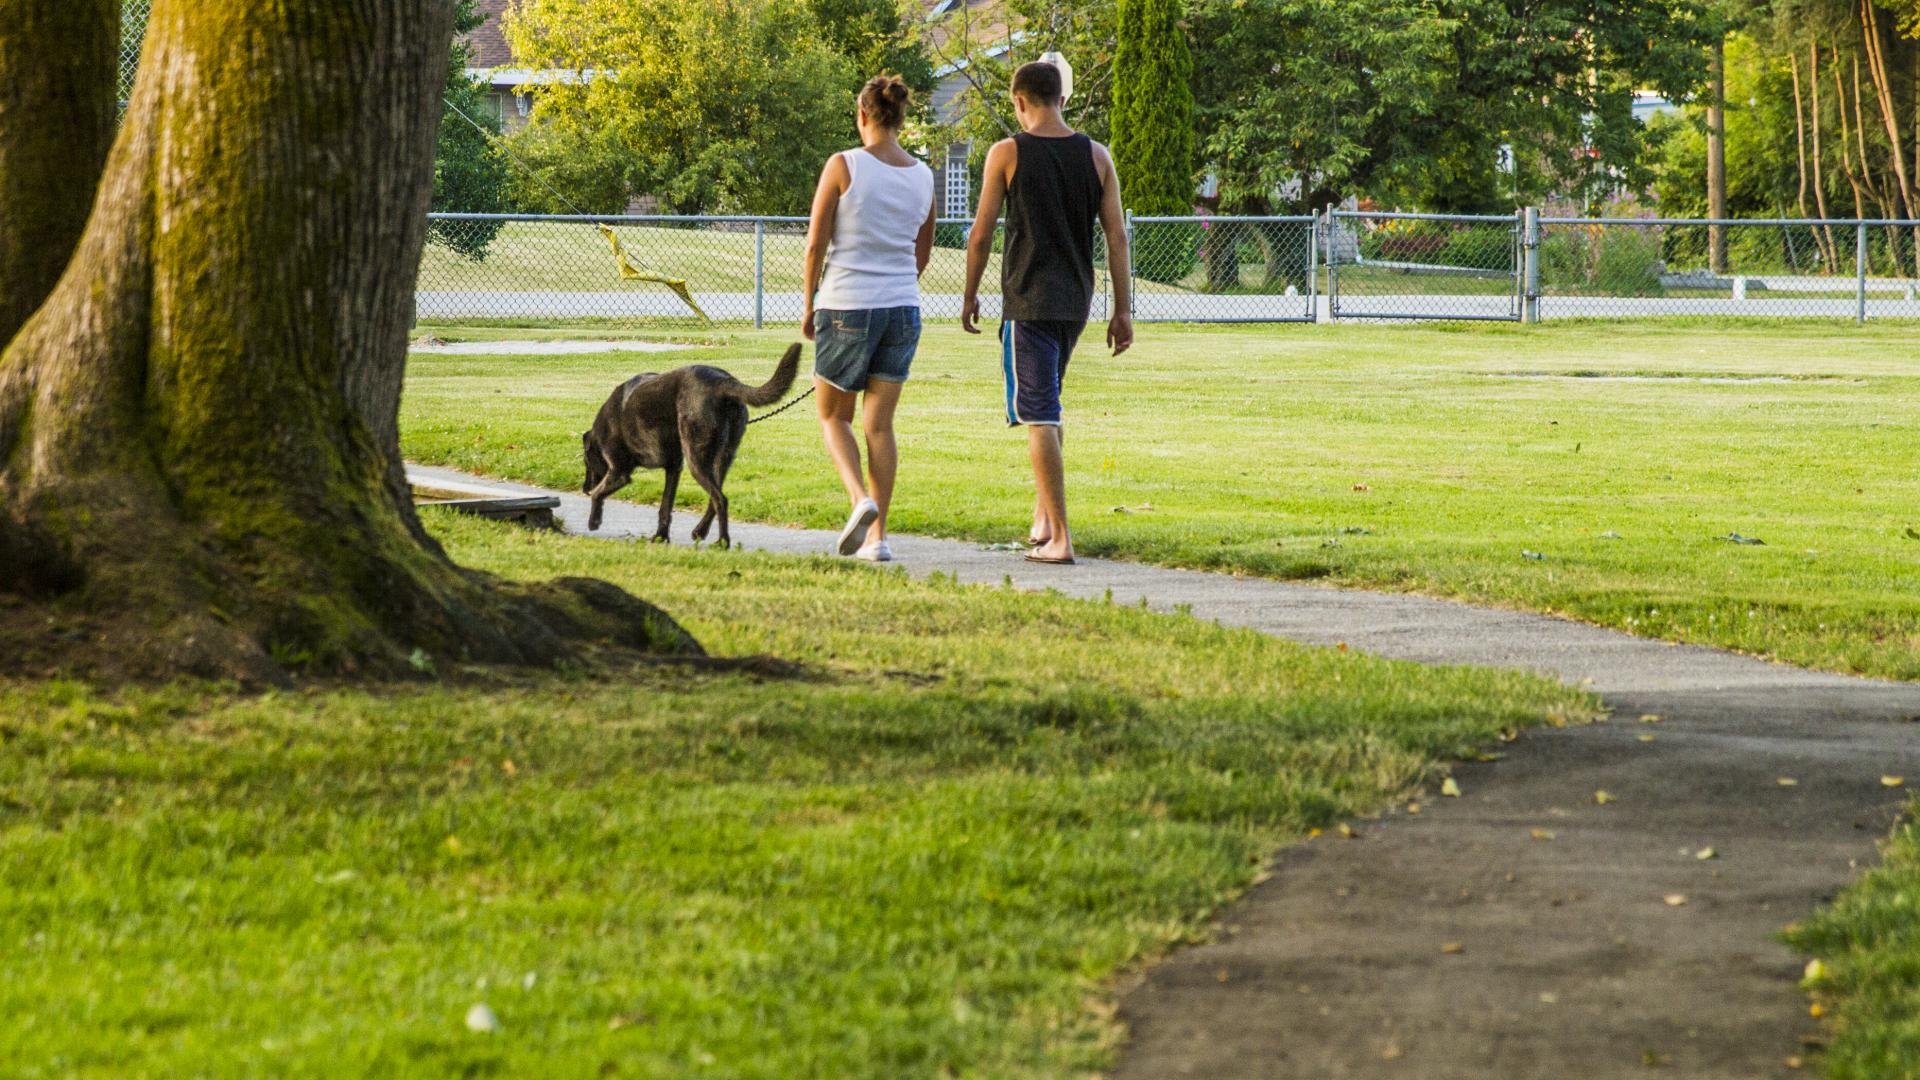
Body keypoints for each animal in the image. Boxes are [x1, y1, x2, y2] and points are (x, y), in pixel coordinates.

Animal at [579, 342, 798, 545]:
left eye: (587, 464)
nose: (583, 488)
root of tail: (723, 382)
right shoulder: (674, 467)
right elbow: (665, 506)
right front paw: (661, 537)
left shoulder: (619, 472)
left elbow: (598, 494)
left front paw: (593, 521)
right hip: (722, 457)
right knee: (715, 496)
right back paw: (701, 531)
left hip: (696, 456)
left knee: (721, 499)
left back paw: (723, 542)